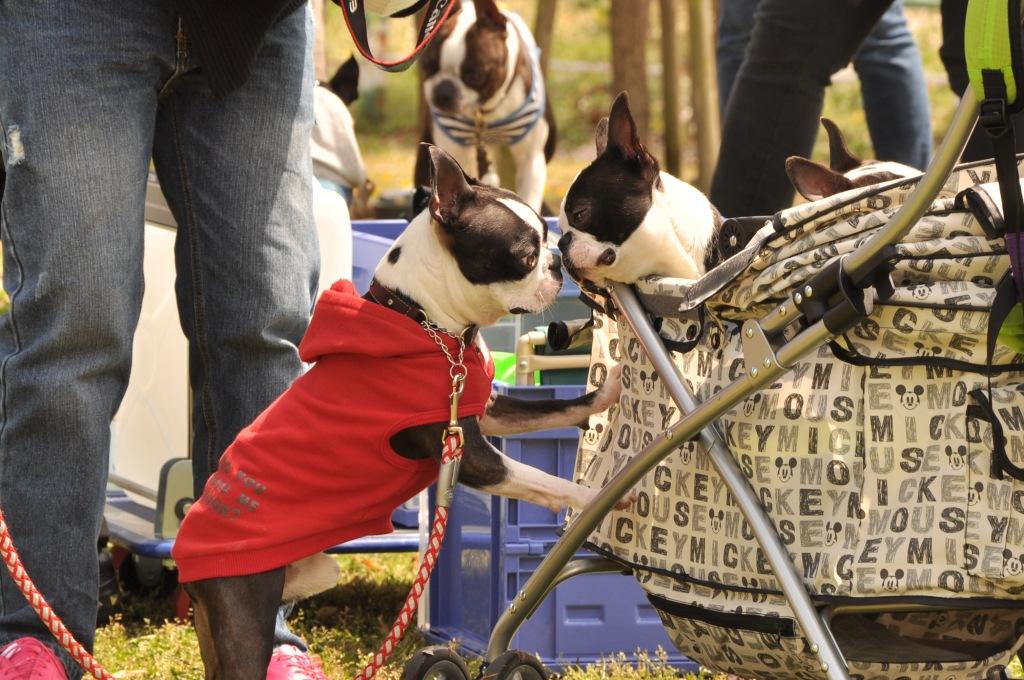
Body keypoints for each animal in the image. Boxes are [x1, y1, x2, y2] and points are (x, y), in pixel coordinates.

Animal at [411, 0, 557, 214]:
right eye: (427, 67)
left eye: (475, 75)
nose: (443, 91)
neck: (486, 111)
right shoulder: (455, 151)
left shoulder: (530, 159)